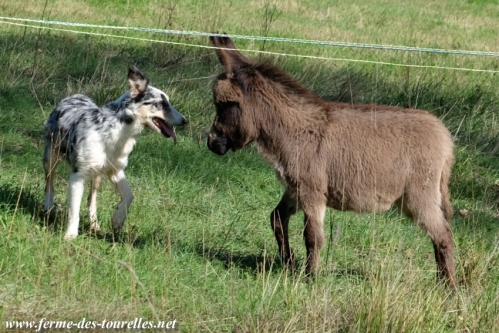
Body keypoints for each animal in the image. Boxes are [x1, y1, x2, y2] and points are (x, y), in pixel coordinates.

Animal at [42, 67, 188, 239]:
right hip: (50, 159)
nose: (185, 121)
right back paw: (48, 207)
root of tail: (74, 96)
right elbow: (74, 210)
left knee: (91, 199)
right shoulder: (78, 175)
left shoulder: (115, 169)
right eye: (161, 104)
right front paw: (70, 235)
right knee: (49, 183)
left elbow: (129, 195)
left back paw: (94, 225)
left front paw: (118, 219)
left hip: (97, 174)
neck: (115, 131)